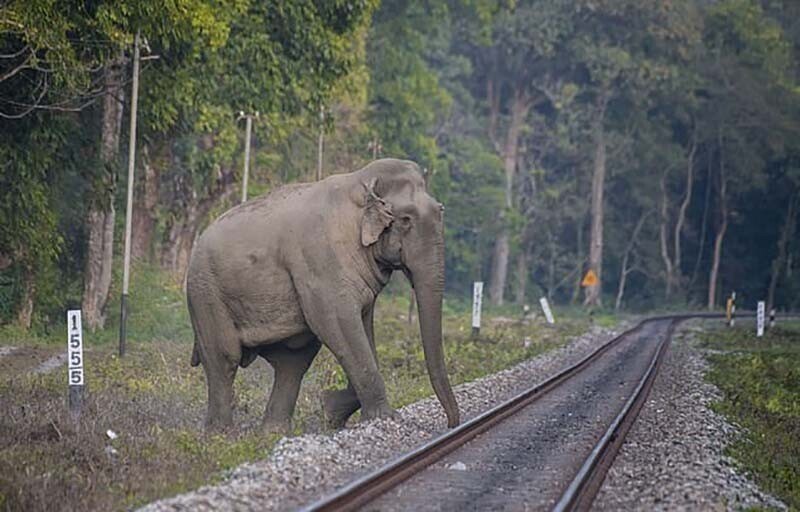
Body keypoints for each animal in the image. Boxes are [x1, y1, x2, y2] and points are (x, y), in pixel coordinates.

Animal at [187, 157, 460, 432]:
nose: (451, 424)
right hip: (205, 292)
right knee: (225, 357)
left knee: (293, 362)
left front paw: (330, 411)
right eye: (405, 219)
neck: (359, 181)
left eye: (441, 210)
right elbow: (337, 323)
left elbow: (362, 329)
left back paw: (272, 433)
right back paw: (222, 435)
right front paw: (383, 418)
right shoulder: (321, 262)